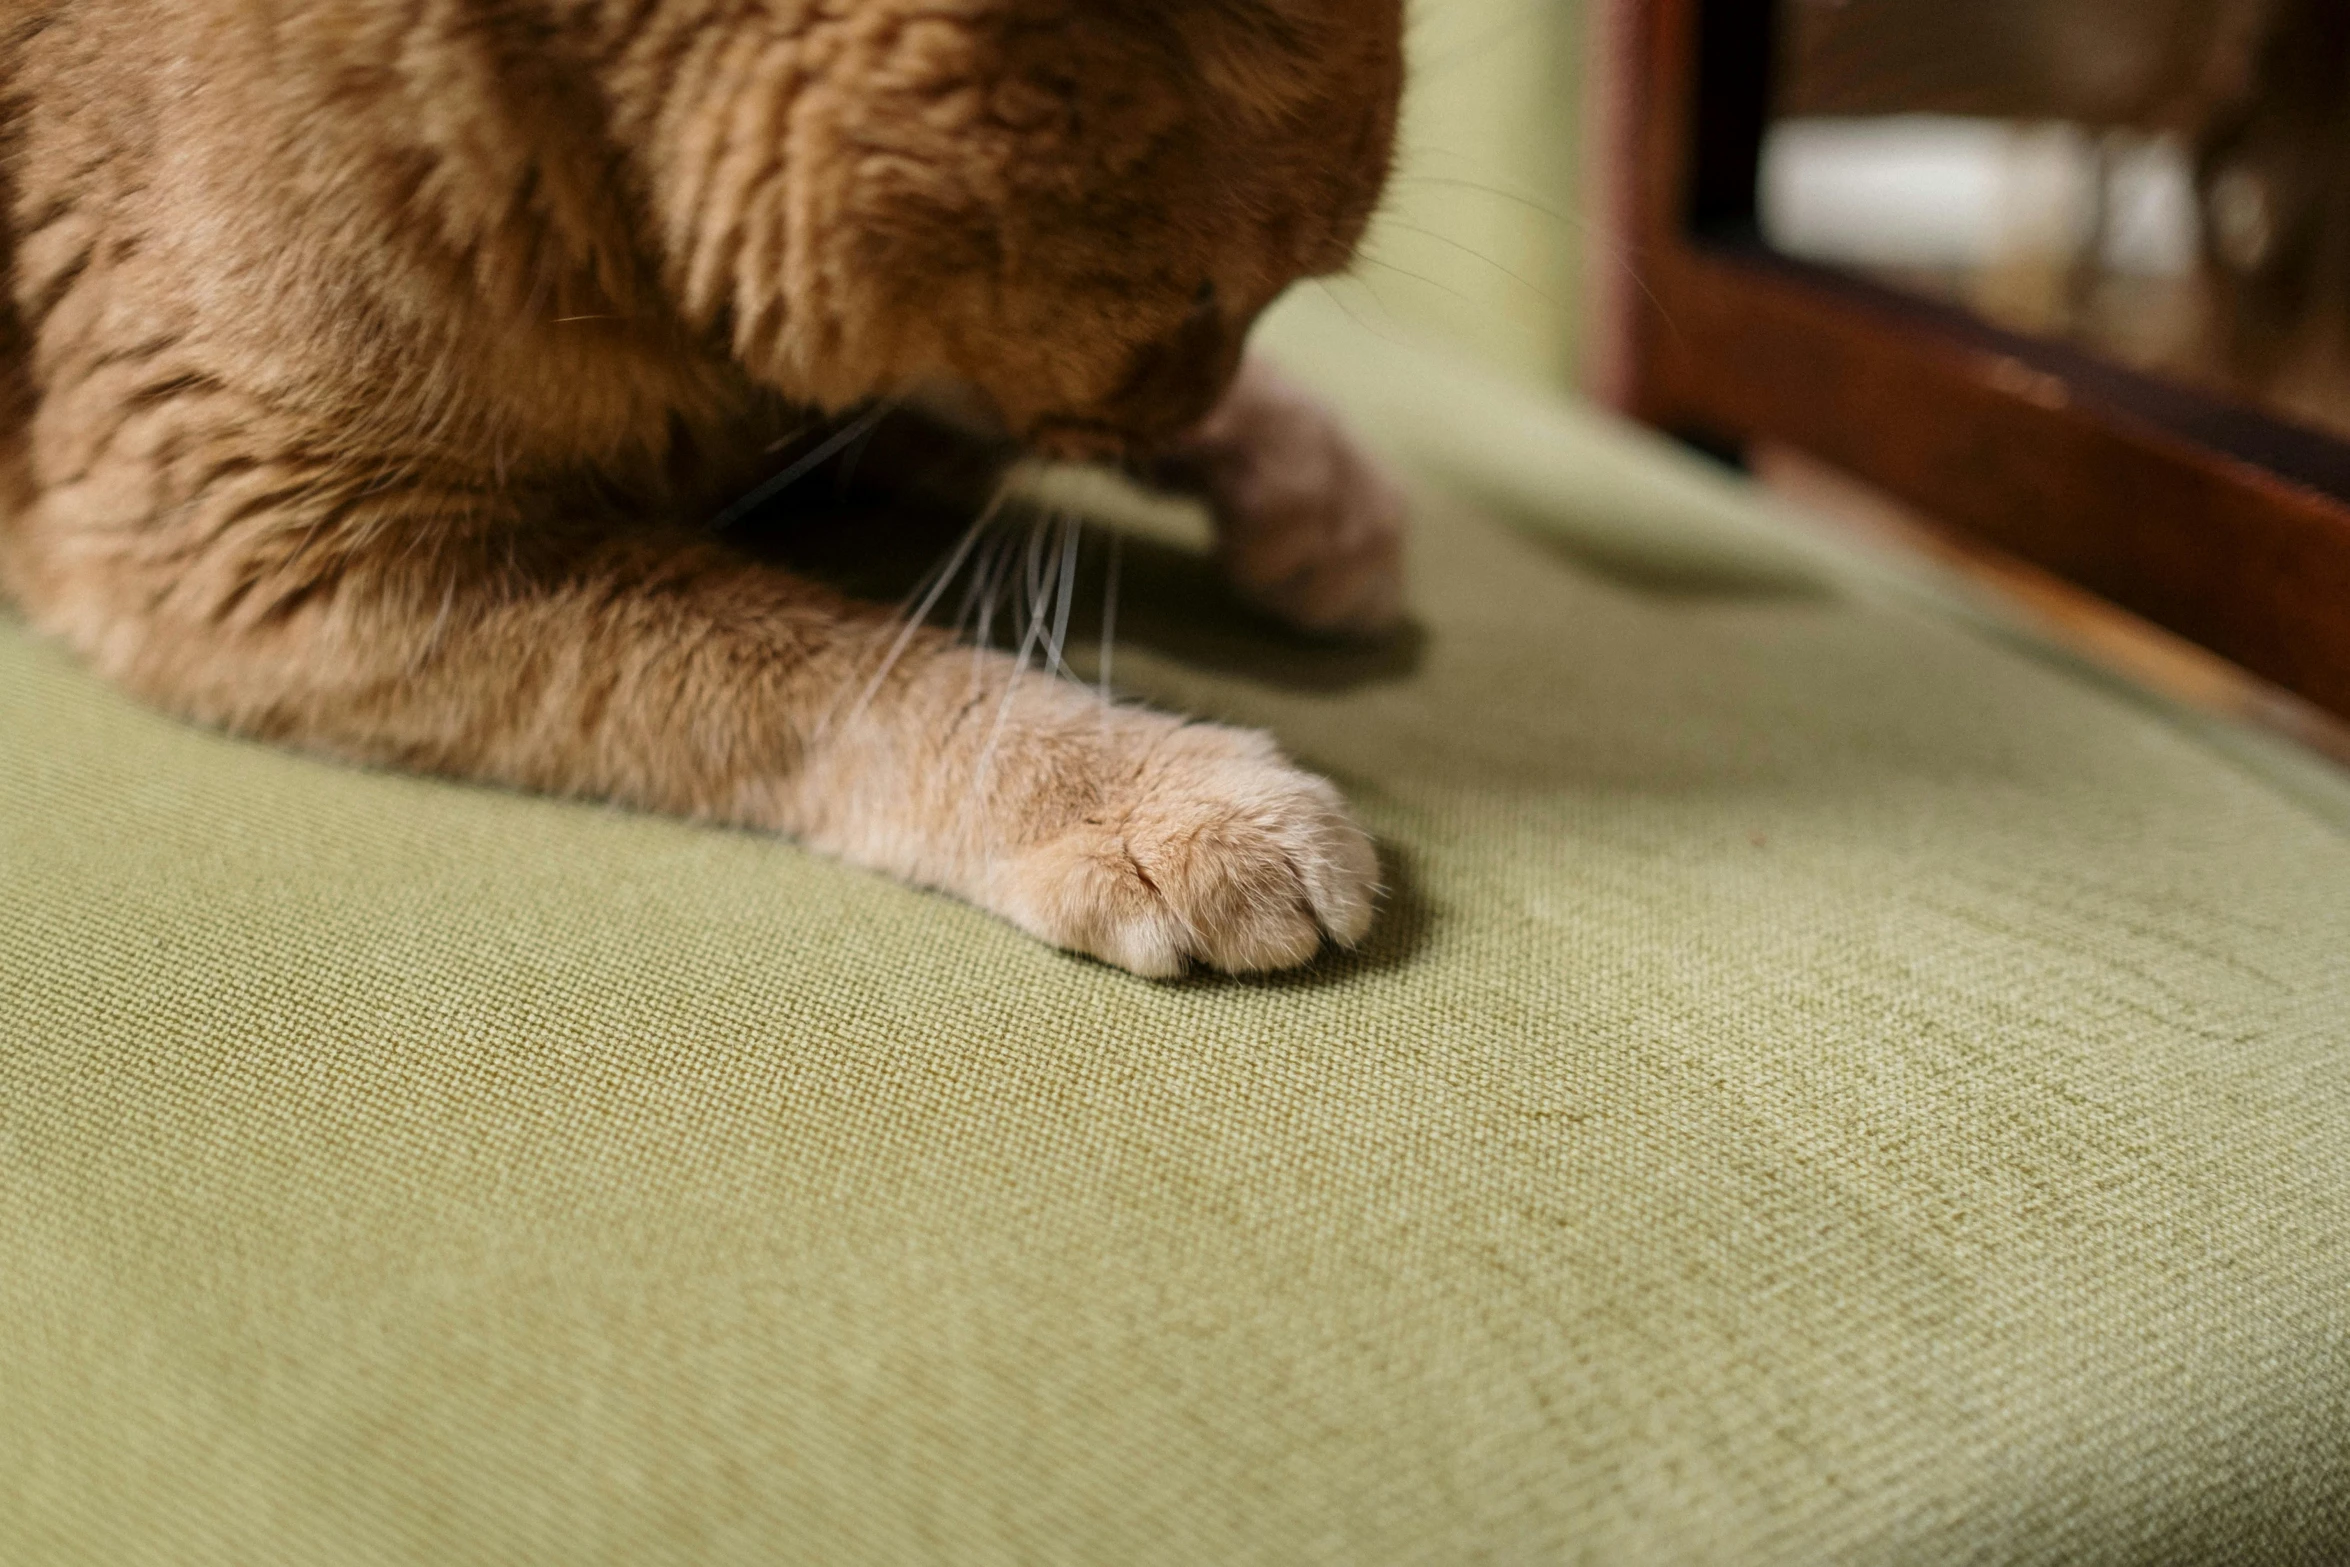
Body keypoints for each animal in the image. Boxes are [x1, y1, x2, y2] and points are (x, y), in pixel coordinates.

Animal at [0, 0, 1400, 972]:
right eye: (1210, 297)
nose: (1199, 394)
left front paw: (1313, 489)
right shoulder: (277, 552)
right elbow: (841, 668)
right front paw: (1152, 798)